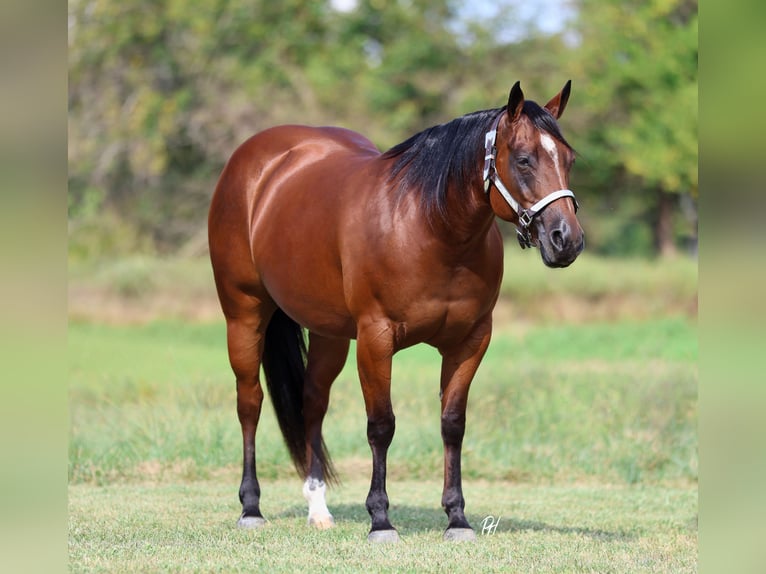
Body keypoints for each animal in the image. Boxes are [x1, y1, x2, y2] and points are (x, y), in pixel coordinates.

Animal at [208, 81, 584, 542]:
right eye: (524, 159)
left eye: (568, 159)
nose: (566, 240)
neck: (430, 228)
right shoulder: (376, 338)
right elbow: (381, 425)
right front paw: (380, 519)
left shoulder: (470, 340)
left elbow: (452, 423)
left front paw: (457, 518)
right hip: (244, 313)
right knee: (250, 402)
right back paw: (251, 507)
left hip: (330, 332)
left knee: (312, 403)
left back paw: (318, 509)